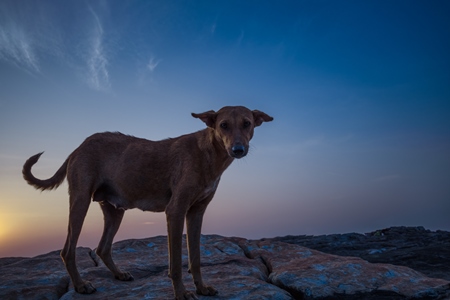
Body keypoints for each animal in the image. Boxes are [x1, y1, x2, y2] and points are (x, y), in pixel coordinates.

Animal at [22, 106, 272, 300]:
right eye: (223, 125)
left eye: (247, 123)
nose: (238, 149)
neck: (208, 153)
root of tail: (78, 147)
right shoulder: (175, 211)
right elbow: (176, 263)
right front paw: (181, 293)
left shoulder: (196, 213)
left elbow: (195, 258)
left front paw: (201, 288)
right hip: (80, 203)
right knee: (67, 251)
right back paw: (81, 285)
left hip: (115, 212)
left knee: (102, 248)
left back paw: (119, 274)